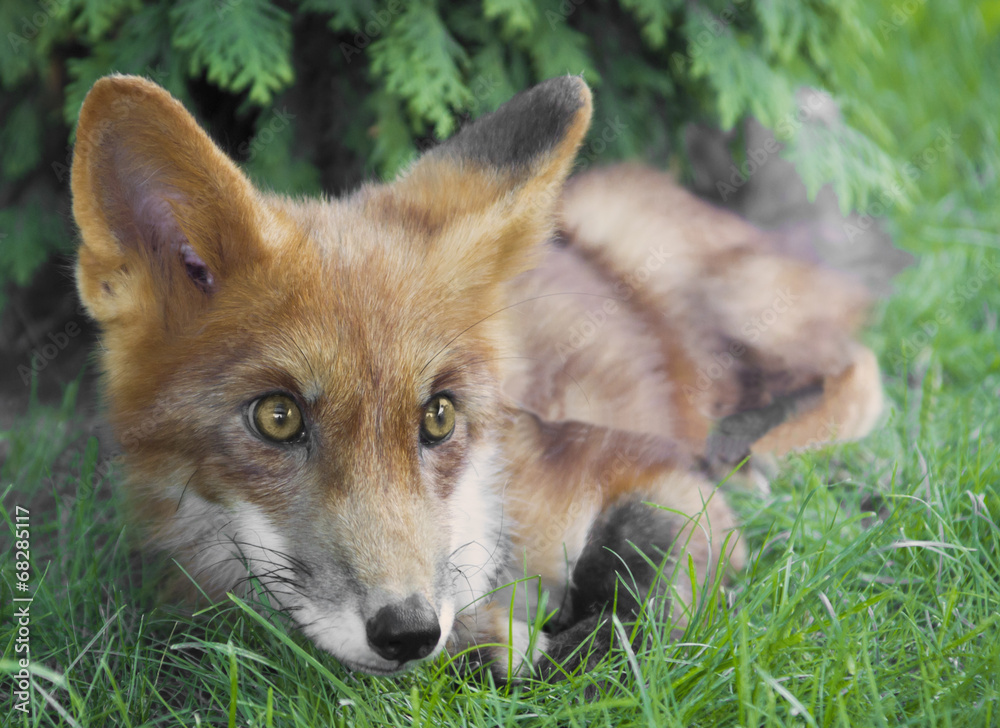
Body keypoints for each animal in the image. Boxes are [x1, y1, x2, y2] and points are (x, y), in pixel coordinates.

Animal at [71, 74, 883, 681]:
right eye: (277, 417)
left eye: (438, 416)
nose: (407, 631)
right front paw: (501, 645)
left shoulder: (656, 479)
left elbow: (641, 620)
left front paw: (573, 652)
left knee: (856, 369)